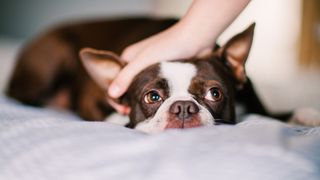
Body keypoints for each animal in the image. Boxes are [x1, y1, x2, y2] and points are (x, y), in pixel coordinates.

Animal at [8, 17, 312, 134]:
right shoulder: (91, 100)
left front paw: (308, 115)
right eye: (152, 97)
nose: (184, 107)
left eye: (214, 93)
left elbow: (283, 113)